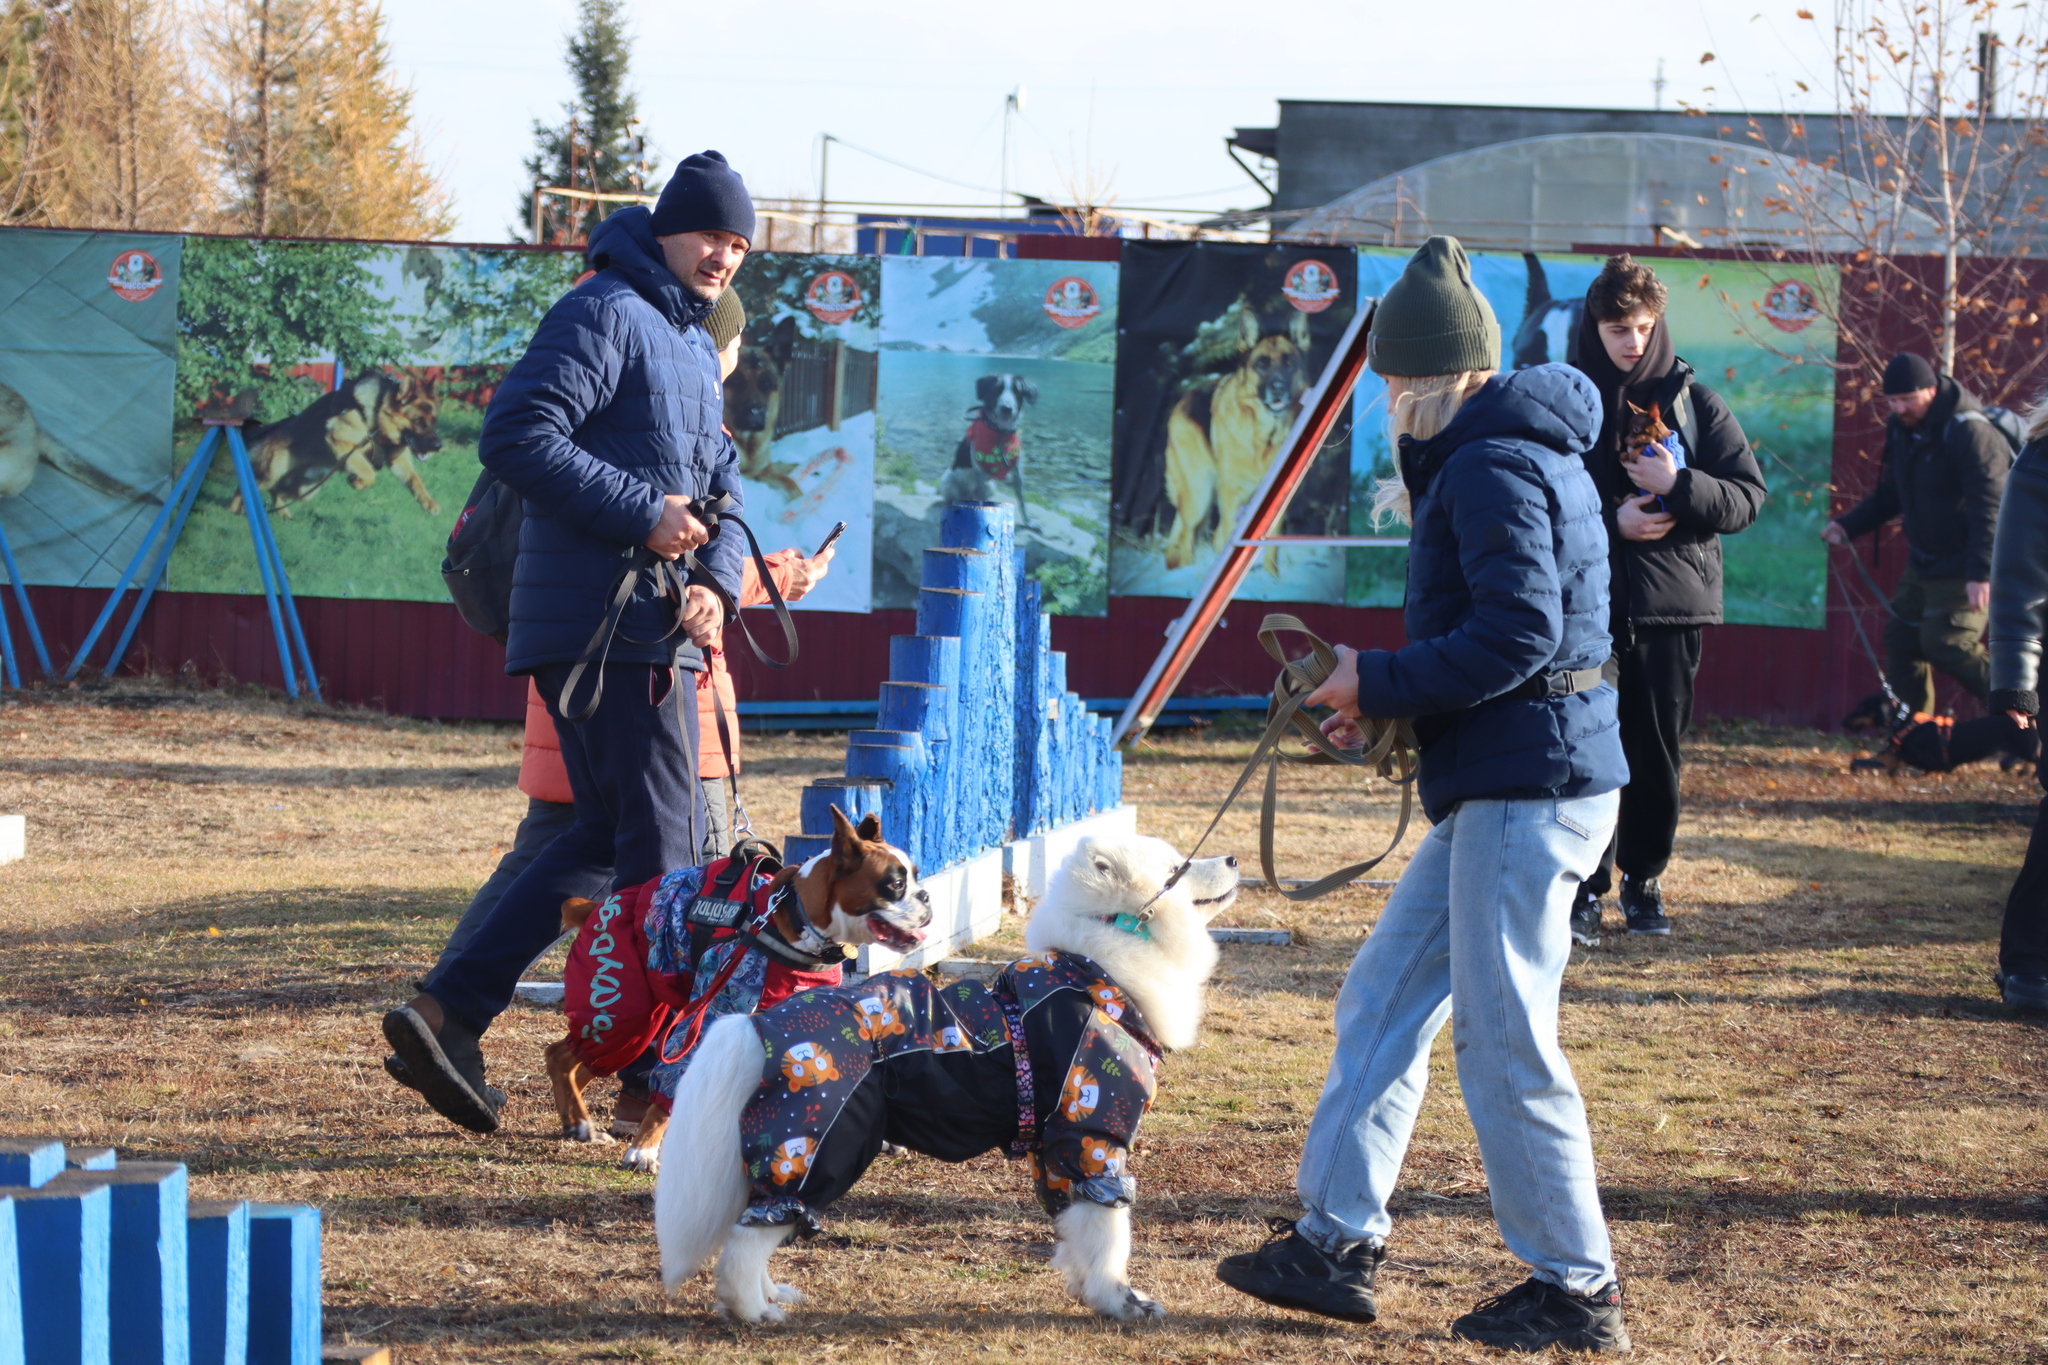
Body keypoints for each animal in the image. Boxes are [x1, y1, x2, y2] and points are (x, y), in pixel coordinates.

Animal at [655, 834, 1236, 1326]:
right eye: (1177, 868)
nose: (1233, 858)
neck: (1097, 971)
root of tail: (754, 1026)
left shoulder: (1058, 1151)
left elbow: (1077, 1232)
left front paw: (1087, 1290)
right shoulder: (1092, 1137)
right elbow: (1110, 1235)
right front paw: (1122, 1302)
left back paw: (771, 1294)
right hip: (816, 1149)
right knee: (745, 1241)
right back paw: (754, 1311)